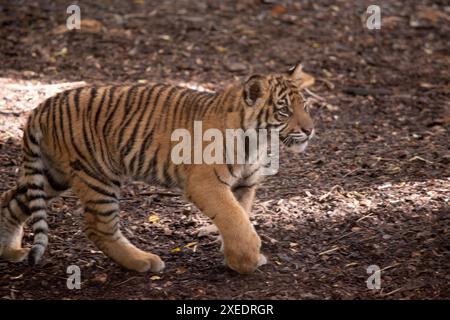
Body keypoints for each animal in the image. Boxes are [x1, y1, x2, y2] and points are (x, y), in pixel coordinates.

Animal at [0, 63, 314, 274]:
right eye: (284, 111)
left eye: (306, 106)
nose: (310, 130)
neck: (258, 140)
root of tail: (41, 108)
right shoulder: (206, 183)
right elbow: (235, 219)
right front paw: (247, 261)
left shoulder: (245, 185)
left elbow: (240, 216)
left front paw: (235, 256)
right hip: (97, 175)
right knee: (97, 227)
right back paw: (143, 261)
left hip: (53, 175)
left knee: (10, 199)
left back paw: (10, 251)